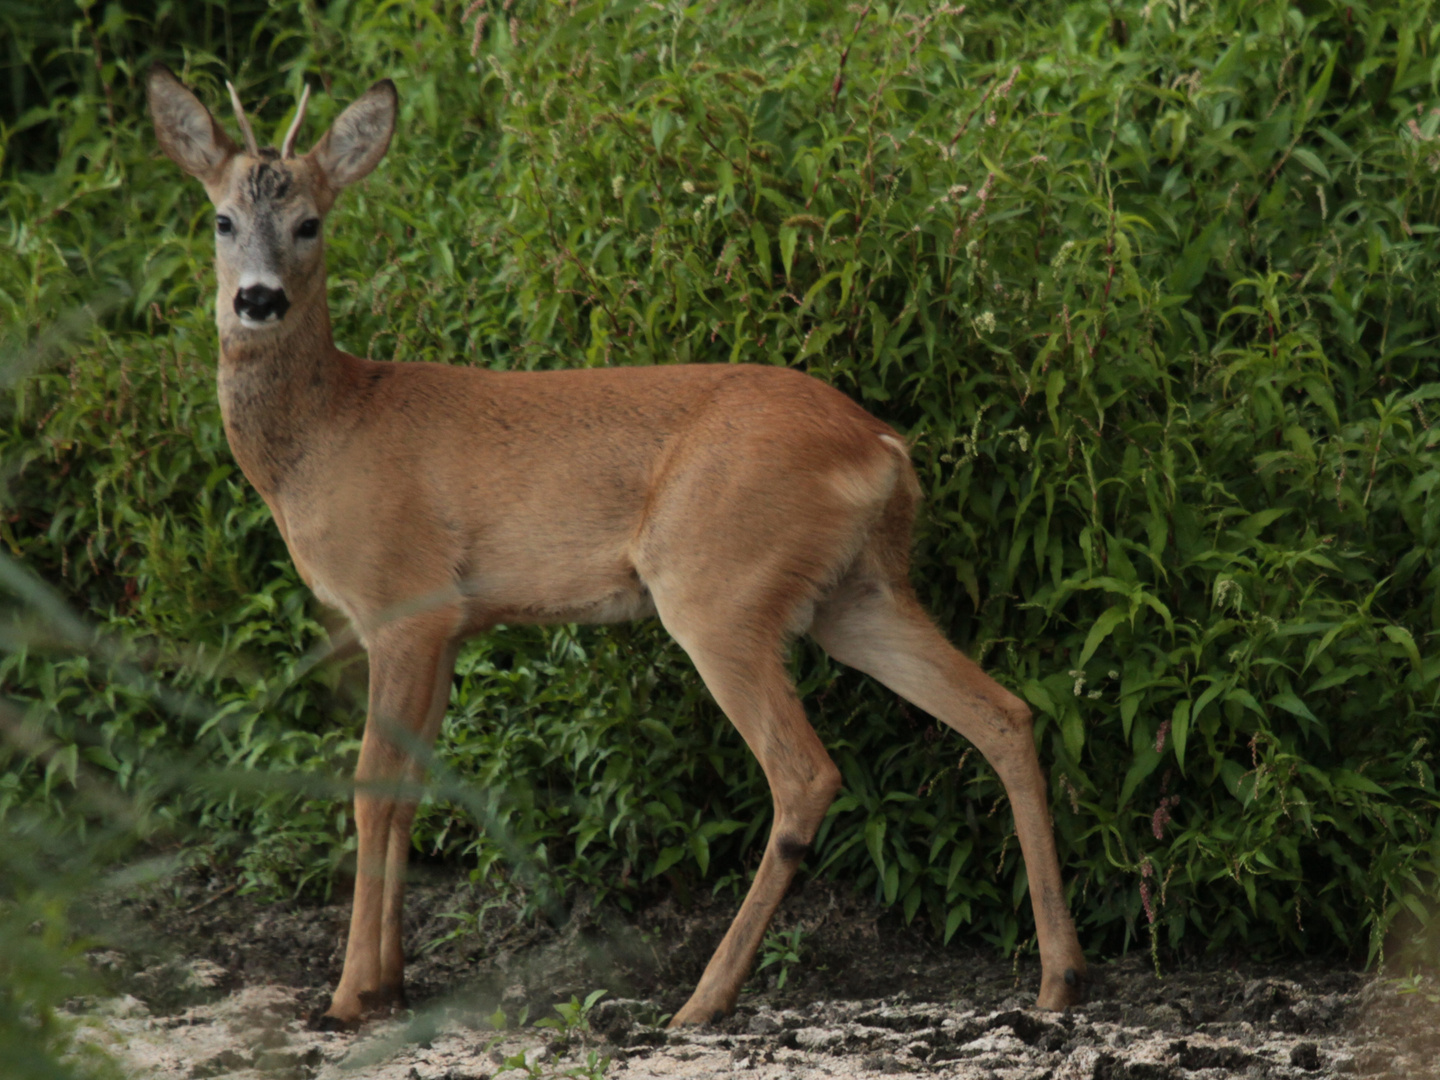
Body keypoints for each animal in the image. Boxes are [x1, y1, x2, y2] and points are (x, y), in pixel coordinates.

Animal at [149, 65, 1088, 1031]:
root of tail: (883, 447)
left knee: (806, 772)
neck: (330, 429)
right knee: (1004, 714)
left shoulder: (402, 605)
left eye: (310, 221)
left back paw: (702, 1000)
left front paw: (347, 998)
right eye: (221, 217)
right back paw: (1059, 978)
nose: (258, 299)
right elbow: (411, 791)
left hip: (718, 589)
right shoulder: (453, 627)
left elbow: (372, 790)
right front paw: (392, 983)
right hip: (857, 595)